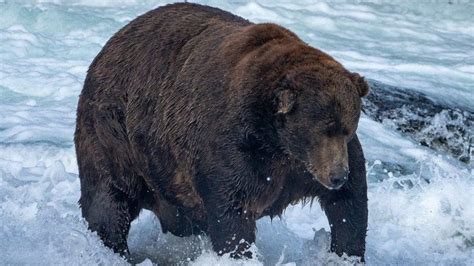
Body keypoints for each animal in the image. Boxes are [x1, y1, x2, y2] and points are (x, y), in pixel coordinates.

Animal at [75, 2, 370, 262]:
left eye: (347, 128)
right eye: (322, 129)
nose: (337, 176)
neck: (277, 142)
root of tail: (110, 43)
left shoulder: (305, 166)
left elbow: (350, 203)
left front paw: (345, 253)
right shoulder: (236, 148)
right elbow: (232, 210)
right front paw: (239, 253)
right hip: (115, 133)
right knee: (109, 198)